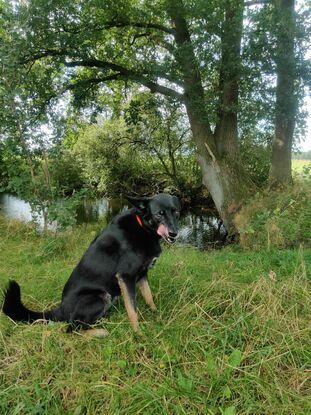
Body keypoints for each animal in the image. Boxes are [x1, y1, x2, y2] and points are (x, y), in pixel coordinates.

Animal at [2, 194, 182, 334]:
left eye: (177, 212)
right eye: (159, 214)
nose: (174, 234)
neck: (142, 227)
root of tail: (61, 309)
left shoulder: (142, 274)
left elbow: (149, 297)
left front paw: (156, 315)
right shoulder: (126, 276)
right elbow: (132, 310)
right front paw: (138, 334)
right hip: (100, 296)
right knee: (71, 328)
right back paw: (100, 332)